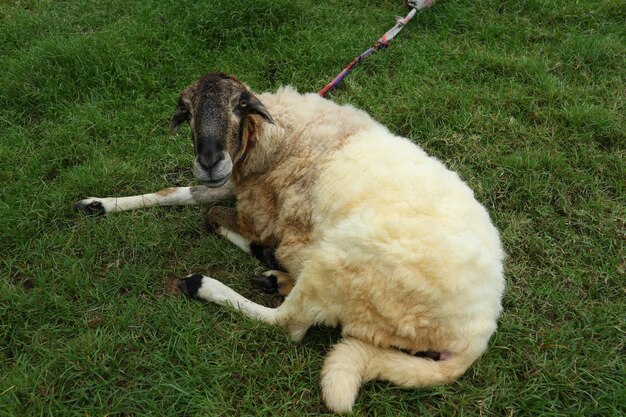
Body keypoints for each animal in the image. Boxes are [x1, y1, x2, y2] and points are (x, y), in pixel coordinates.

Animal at [75, 73, 504, 412]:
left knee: (288, 324)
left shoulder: (260, 211)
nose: (210, 161)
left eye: (240, 107)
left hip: (346, 264)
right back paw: (272, 278)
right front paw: (99, 204)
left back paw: (206, 285)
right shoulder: (235, 182)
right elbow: (180, 194)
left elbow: (214, 218)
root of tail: (475, 336)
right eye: (189, 112)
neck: (279, 136)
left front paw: (262, 252)